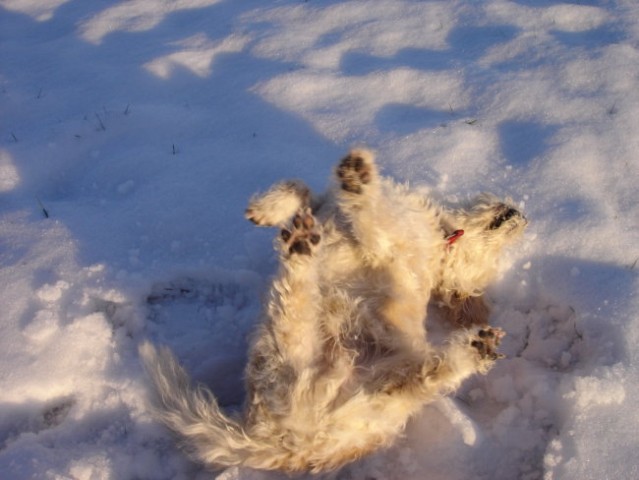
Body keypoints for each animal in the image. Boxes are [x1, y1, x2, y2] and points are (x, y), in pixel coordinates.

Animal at [141, 149, 528, 472]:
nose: (524, 216)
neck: (442, 237)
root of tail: (283, 445)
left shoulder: (385, 244)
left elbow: (370, 218)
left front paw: (358, 184)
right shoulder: (325, 208)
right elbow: (300, 187)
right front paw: (270, 207)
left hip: (300, 356)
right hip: (368, 388)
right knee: (415, 377)